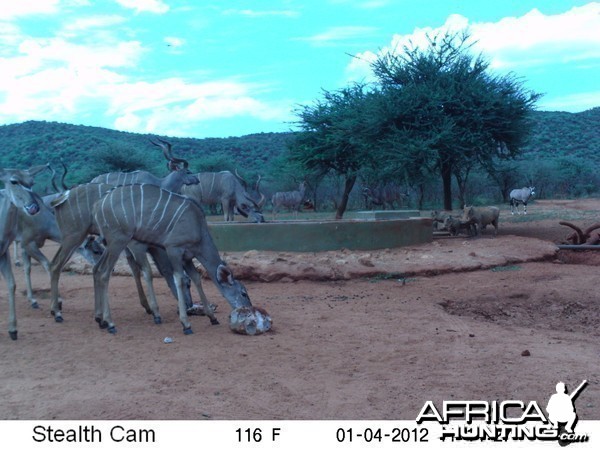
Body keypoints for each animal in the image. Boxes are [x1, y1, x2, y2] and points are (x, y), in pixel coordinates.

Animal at [91, 184, 251, 334]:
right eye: (243, 293)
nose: (248, 309)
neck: (198, 227)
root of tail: (98, 204)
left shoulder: (187, 257)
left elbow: (196, 278)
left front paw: (212, 317)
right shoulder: (173, 249)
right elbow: (179, 279)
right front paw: (186, 324)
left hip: (110, 244)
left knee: (97, 269)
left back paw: (100, 320)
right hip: (118, 241)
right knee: (105, 273)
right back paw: (111, 323)